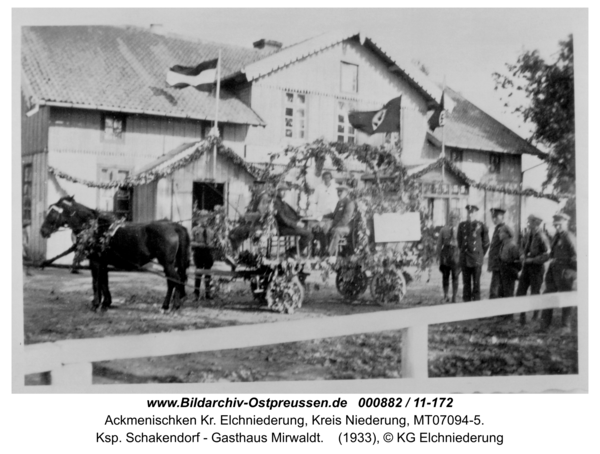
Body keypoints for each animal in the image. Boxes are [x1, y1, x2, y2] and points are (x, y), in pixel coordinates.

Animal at [39, 196, 189, 312]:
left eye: (53, 213)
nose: (42, 231)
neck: (95, 229)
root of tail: (174, 225)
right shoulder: (103, 262)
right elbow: (104, 282)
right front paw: (106, 303)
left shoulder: (95, 261)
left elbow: (96, 282)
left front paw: (96, 304)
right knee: (173, 281)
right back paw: (167, 305)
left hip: (166, 263)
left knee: (175, 280)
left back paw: (172, 305)